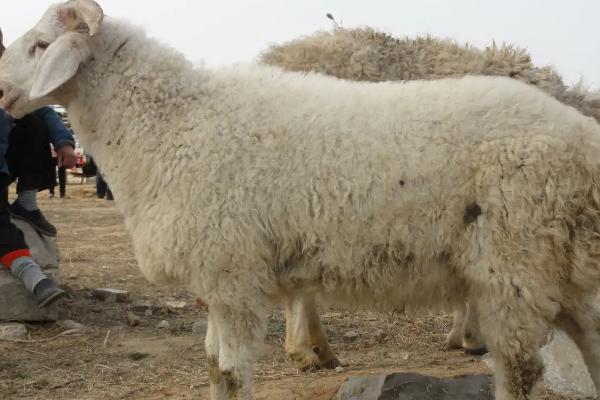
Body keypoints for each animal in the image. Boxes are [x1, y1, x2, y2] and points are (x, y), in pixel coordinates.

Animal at [1, 3, 600, 400]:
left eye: (40, 46)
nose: (3, 93)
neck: (173, 122)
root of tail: (580, 136)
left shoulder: (232, 274)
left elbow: (230, 372)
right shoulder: (220, 279)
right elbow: (213, 367)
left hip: (513, 265)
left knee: (520, 370)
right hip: (550, 267)